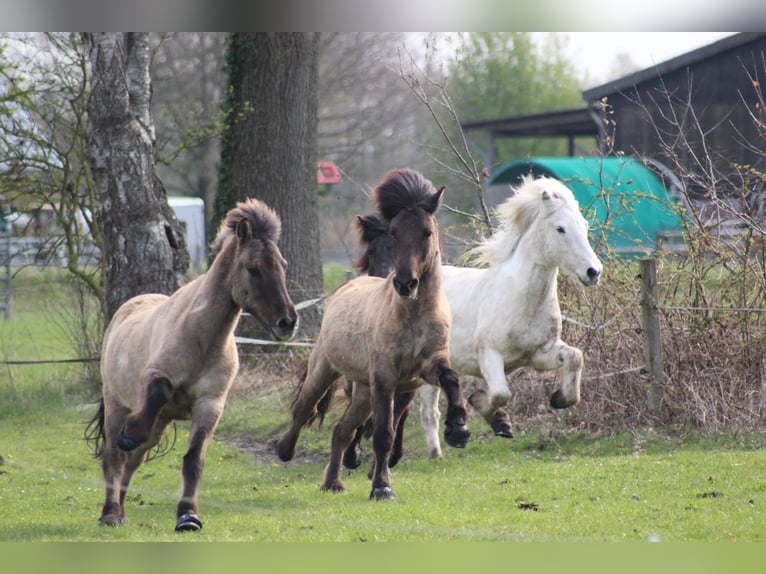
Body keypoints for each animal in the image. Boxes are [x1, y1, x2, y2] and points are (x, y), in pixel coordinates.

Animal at [85, 198, 298, 532]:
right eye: (253, 268)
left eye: (283, 266)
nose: (287, 322)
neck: (202, 341)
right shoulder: (155, 377)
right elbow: (159, 390)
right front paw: (131, 431)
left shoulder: (210, 405)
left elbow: (193, 461)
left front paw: (188, 516)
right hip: (116, 403)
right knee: (114, 457)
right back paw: (110, 513)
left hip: (160, 422)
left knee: (133, 461)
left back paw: (120, 509)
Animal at [275, 168, 471, 500]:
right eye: (394, 233)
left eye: (427, 232)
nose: (405, 283)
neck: (412, 316)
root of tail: (345, 288)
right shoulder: (384, 378)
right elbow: (382, 434)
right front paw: (381, 487)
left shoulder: (424, 369)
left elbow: (450, 378)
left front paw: (458, 429)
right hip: (327, 370)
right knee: (305, 407)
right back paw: (285, 450)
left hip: (364, 392)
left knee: (342, 429)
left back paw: (333, 483)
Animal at [344, 175, 602, 462]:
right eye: (560, 229)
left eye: (584, 226)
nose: (593, 272)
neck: (520, 298)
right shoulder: (490, 354)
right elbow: (500, 393)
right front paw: (482, 406)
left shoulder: (539, 354)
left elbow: (575, 357)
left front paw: (557, 399)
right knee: (416, 411)